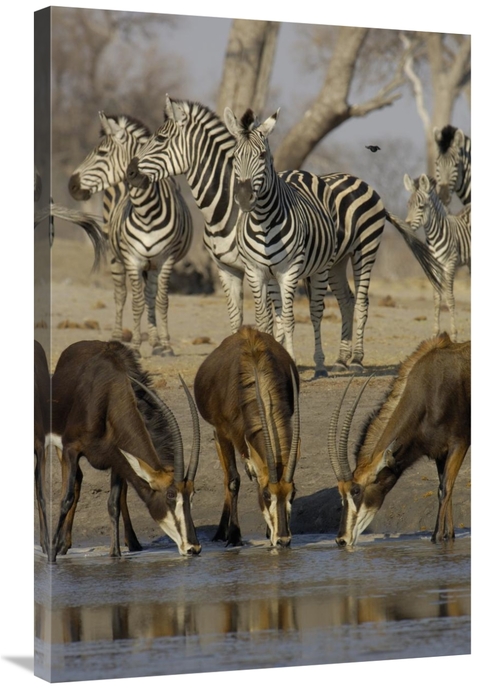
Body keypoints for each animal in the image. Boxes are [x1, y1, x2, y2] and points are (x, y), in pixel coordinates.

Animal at [49, 339, 201, 561]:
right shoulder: (71, 449)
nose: (193, 548)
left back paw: (133, 542)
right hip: (61, 450)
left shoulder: (118, 458)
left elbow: (113, 503)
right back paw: (61, 545)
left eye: (192, 495)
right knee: (74, 484)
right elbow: (66, 498)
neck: (107, 396)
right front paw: (51, 553)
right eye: (171, 495)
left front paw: (115, 555)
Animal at [194, 326, 300, 548]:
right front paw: (234, 536)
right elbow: (233, 481)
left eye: (292, 493)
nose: (283, 539)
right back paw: (221, 532)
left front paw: (269, 533)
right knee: (227, 477)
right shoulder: (223, 432)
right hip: (219, 435)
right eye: (267, 494)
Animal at [329, 332, 470, 546]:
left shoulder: (459, 444)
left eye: (356, 490)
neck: (429, 392)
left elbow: (445, 488)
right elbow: (445, 488)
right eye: (340, 493)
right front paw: (449, 536)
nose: (341, 540)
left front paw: (436, 537)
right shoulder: (440, 453)